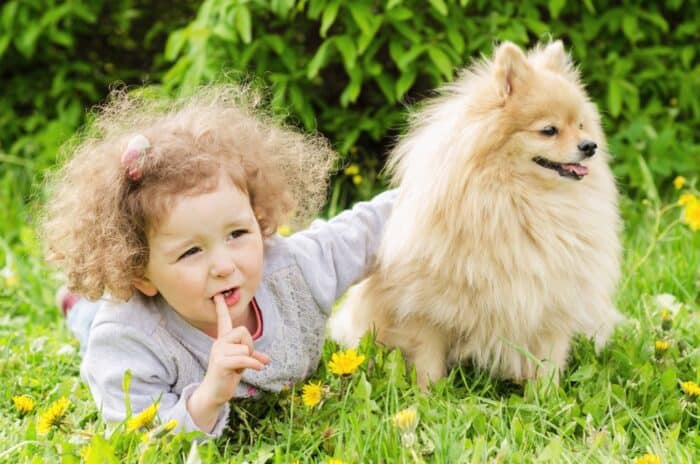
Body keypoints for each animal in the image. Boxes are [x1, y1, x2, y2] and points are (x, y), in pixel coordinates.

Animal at [330, 40, 620, 388]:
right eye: (549, 130)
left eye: (581, 125)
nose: (589, 146)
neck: (525, 203)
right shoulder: (427, 307)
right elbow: (427, 357)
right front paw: (427, 395)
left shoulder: (553, 305)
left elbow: (548, 362)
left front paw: (547, 396)